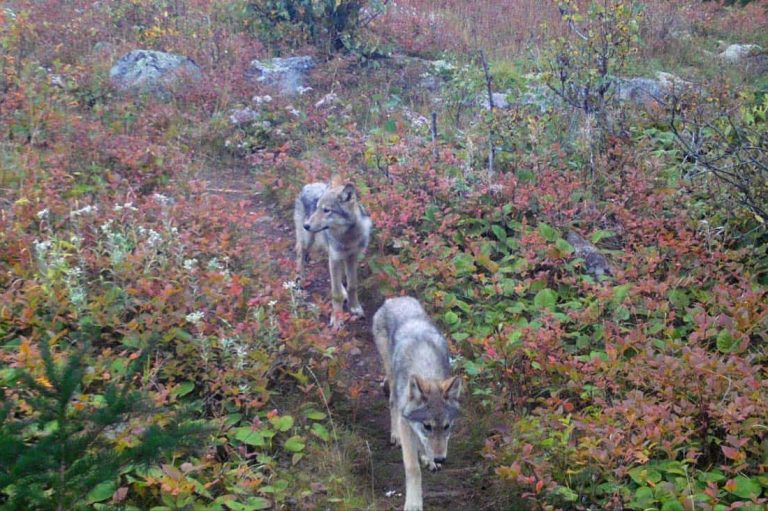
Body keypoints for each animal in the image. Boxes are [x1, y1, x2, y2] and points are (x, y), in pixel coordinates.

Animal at [294, 176, 372, 328]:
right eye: (317, 208)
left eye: (326, 210)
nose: (306, 225)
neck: (348, 236)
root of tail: (309, 185)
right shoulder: (336, 257)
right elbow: (336, 294)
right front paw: (337, 319)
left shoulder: (352, 257)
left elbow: (352, 285)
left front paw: (354, 307)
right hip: (308, 241)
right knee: (300, 253)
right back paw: (301, 279)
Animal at [372, 298, 462, 510]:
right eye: (427, 426)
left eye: (447, 426)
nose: (440, 459)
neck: (425, 367)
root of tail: (395, 299)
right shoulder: (407, 423)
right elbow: (413, 469)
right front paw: (413, 503)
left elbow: (424, 444)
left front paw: (429, 459)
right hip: (391, 376)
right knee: (392, 403)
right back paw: (395, 435)